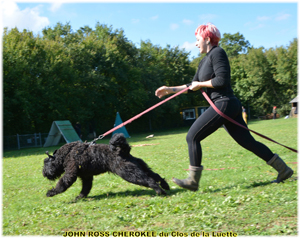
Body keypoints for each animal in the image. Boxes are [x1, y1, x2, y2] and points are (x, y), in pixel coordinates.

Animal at [42, 134, 170, 199]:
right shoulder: (87, 177)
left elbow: (62, 184)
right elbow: (85, 188)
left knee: (149, 180)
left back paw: (160, 191)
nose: (44, 173)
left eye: (45, 163)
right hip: (140, 167)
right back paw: (165, 185)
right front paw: (80, 197)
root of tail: (123, 151)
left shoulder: (70, 173)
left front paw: (51, 192)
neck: (66, 154)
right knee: (155, 175)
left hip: (129, 173)